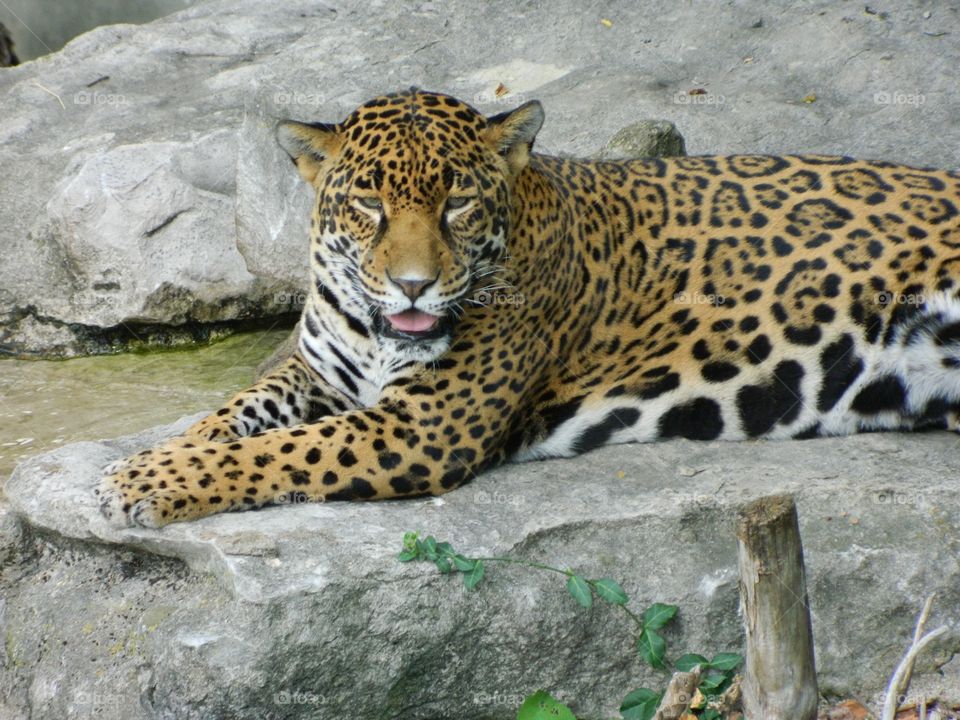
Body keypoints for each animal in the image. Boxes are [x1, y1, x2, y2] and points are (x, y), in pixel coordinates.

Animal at [97, 88, 960, 528]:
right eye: (370, 205)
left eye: (457, 204)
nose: (413, 285)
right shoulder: (319, 370)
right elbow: (234, 415)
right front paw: (157, 455)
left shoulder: (421, 425)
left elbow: (276, 451)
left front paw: (143, 481)